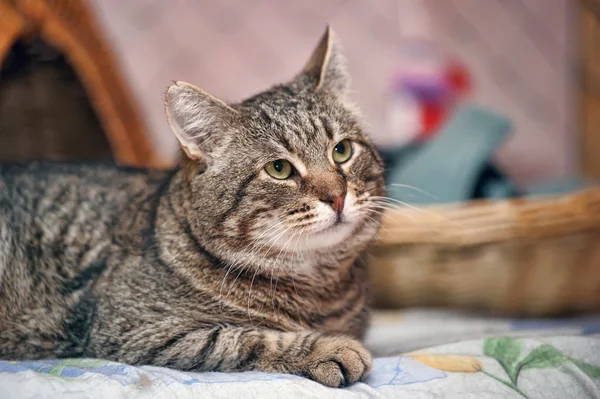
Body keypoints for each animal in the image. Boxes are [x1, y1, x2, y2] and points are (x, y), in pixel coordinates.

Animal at [0, 27, 384, 388]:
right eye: (279, 169)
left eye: (342, 151)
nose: (336, 196)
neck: (321, 289)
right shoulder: (138, 331)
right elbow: (247, 338)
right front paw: (328, 347)